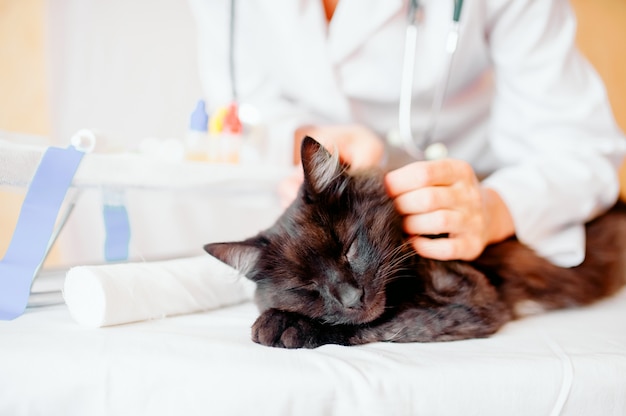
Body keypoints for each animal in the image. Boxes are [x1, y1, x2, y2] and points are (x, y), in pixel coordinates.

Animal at [205, 136, 624, 348]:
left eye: (349, 248)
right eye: (306, 286)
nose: (352, 298)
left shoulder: (471, 297)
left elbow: (384, 319)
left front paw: (284, 325)